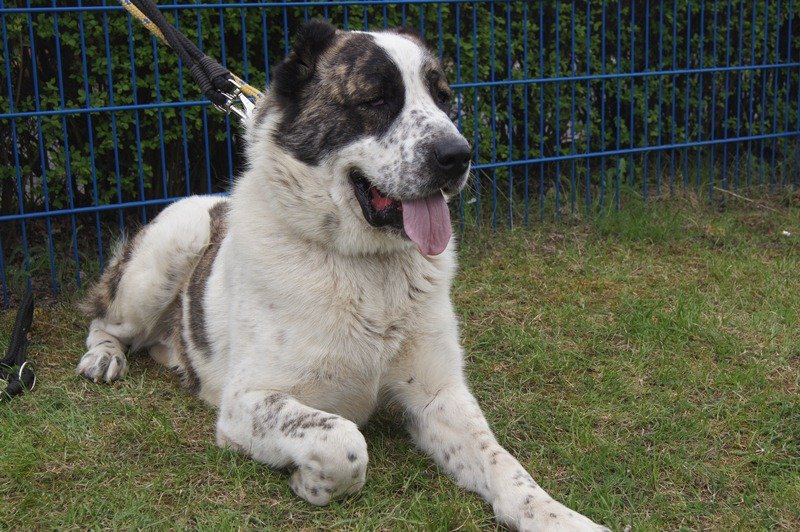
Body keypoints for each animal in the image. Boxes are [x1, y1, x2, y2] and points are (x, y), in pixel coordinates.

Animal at [76, 20, 607, 531]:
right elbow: (343, 441)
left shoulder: (440, 395)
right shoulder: (246, 401)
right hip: (163, 256)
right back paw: (104, 358)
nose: (459, 155)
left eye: (443, 98)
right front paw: (311, 483)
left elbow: (505, 464)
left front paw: (558, 517)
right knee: (103, 320)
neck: (366, 268)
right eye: (375, 100)